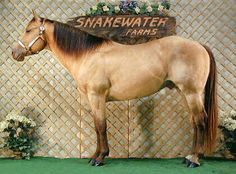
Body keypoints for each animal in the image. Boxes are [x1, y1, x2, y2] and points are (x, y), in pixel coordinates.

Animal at [11, 11, 218, 167]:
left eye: (28, 30)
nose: (14, 53)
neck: (88, 55)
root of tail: (199, 46)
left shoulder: (97, 96)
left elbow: (101, 126)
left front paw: (100, 157)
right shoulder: (92, 99)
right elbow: (97, 127)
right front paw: (94, 155)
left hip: (192, 93)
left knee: (201, 121)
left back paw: (195, 159)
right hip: (185, 93)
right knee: (194, 122)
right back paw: (189, 157)